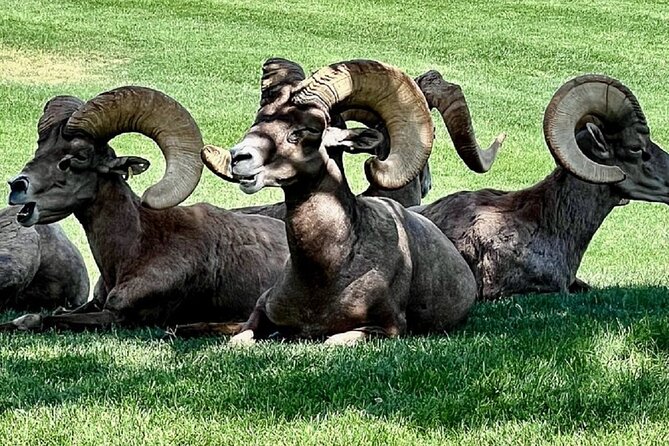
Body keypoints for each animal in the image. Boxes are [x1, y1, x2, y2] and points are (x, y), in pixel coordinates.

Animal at [0, 86, 289, 333]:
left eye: (77, 157)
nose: (17, 185)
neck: (136, 248)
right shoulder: (93, 303)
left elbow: (48, 318)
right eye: (40, 148)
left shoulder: (117, 316)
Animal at [201, 59, 501, 344]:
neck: (324, 274)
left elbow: (331, 342)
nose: (239, 158)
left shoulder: (385, 329)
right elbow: (239, 341)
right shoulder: (262, 309)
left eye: (307, 130)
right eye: (258, 120)